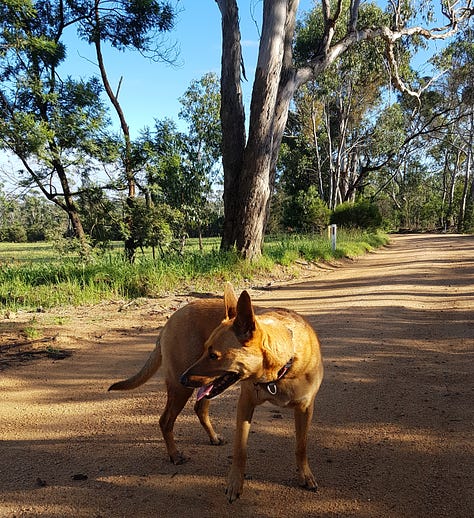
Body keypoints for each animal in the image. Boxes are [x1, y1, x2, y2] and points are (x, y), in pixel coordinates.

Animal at [180, 284, 324, 504]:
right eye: (205, 350)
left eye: (213, 355)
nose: (183, 379)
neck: (281, 370)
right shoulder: (245, 403)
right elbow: (240, 450)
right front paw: (234, 483)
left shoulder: (305, 409)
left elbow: (301, 446)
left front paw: (306, 476)